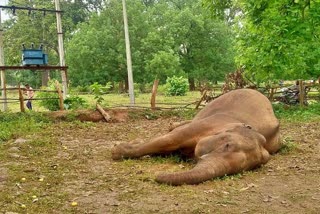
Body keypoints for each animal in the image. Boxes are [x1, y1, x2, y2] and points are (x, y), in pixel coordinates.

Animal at [112, 88, 280, 186]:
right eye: (227, 145)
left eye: (249, 168)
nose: (155, 176)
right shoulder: (211, 122)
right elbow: (170, 139)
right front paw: (117, 151)